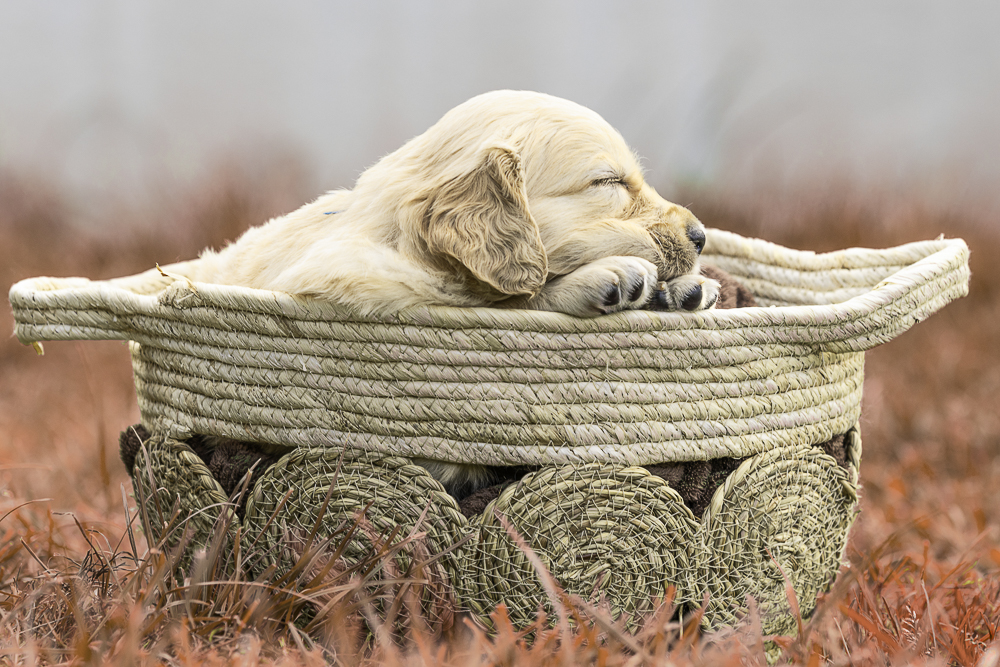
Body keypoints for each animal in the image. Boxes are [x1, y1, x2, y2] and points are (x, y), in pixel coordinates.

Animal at [186, 88, 720, 496]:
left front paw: (682, 289)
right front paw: (611, 279)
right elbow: (517, 297)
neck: (407, 245)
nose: (700, 237)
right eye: (607, 181)